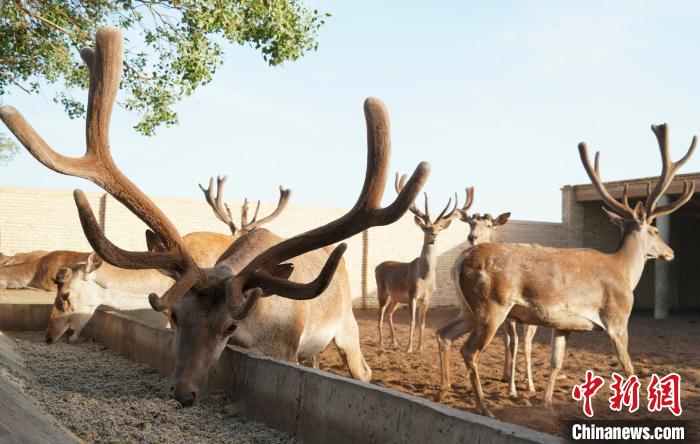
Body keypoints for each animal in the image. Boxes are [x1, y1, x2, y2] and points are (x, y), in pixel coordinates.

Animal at [0, 24, 430, 406]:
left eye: (229, 325)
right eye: (176, 316)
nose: (183, 392)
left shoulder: (284, 349)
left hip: (348, 328)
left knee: (365, 370)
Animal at [374, 175, 468, 352]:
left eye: (439, 228)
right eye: (426, 228)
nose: (433, 235)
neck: (425, 278)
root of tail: (377, 266)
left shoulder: (427, 298)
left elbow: (422, 324)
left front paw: (420, 349)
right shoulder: (412, 294)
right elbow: (411, 322)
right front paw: (409, 348)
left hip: (396, 298)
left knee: (389, 313)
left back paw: (394, 342)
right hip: (382, 290)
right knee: (381, 313)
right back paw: (381, 342)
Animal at [438, 123, 696, 418]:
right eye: (655, 230)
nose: (671, 251)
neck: (624, 272)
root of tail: (461, 260)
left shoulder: (563, 324)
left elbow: (556, 363)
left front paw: (547, 403)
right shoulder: (617, 319)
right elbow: (628, 368)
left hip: (466, 308)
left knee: (444, 333)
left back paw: (443, 391)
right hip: (491, 306)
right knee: (469, 351)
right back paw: (483, 408)